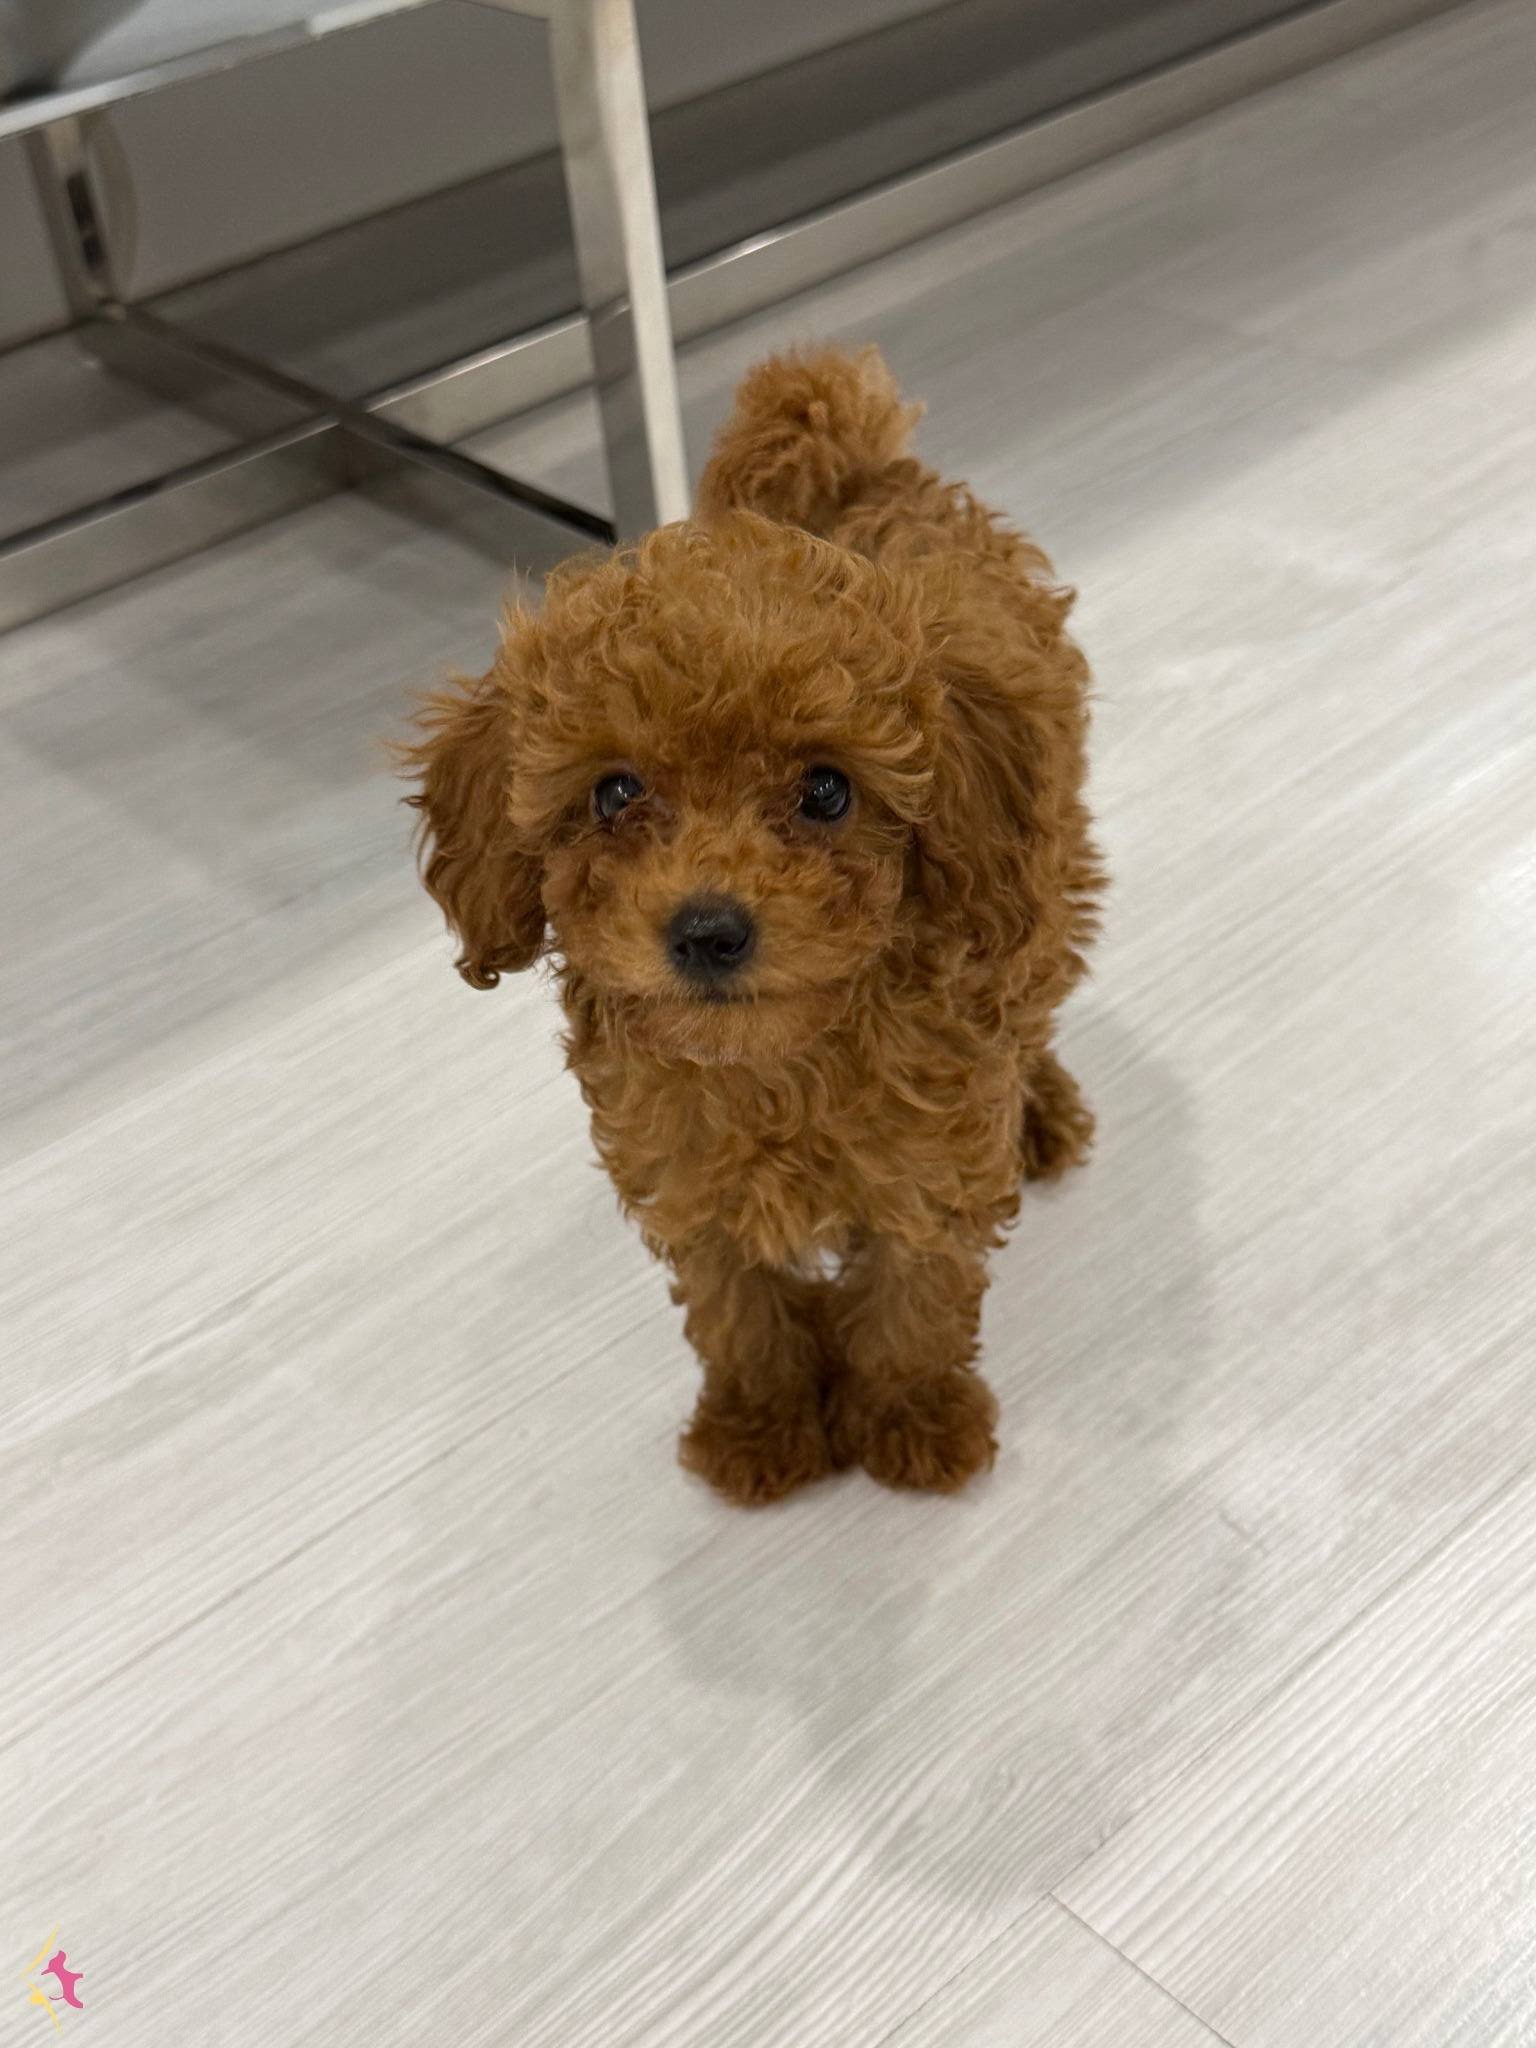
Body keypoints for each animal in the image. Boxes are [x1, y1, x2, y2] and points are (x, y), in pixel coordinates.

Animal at [404, 347, 1102, 1505]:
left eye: (826, 790)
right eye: (615, 792)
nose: (707, 930)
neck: (778, 1066)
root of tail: (861, 473)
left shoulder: (927, 1164)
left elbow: (915, 1300)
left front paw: (910, 1418)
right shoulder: (690, 1180)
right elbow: (740, 1315)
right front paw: (762, 1427)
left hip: (1040, 879)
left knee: (1036, 996)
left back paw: (1041, 1111)